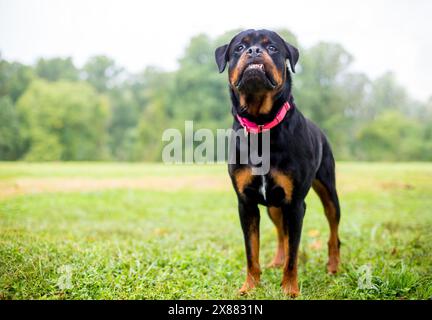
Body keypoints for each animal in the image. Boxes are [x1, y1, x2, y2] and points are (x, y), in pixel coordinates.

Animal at [215, 30, 340, 298]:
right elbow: (252, 252)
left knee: (333, 229)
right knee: (281, 233)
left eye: (272, 48)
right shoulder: (246, 203)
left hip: (328, 190)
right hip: (273, 205)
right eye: (239, 48)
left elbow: (294, 254)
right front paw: (250, 286)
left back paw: (334, 266)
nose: (253, 51)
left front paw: (290, 289)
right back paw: (276, 260)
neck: (261, 123)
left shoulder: (295, 204)